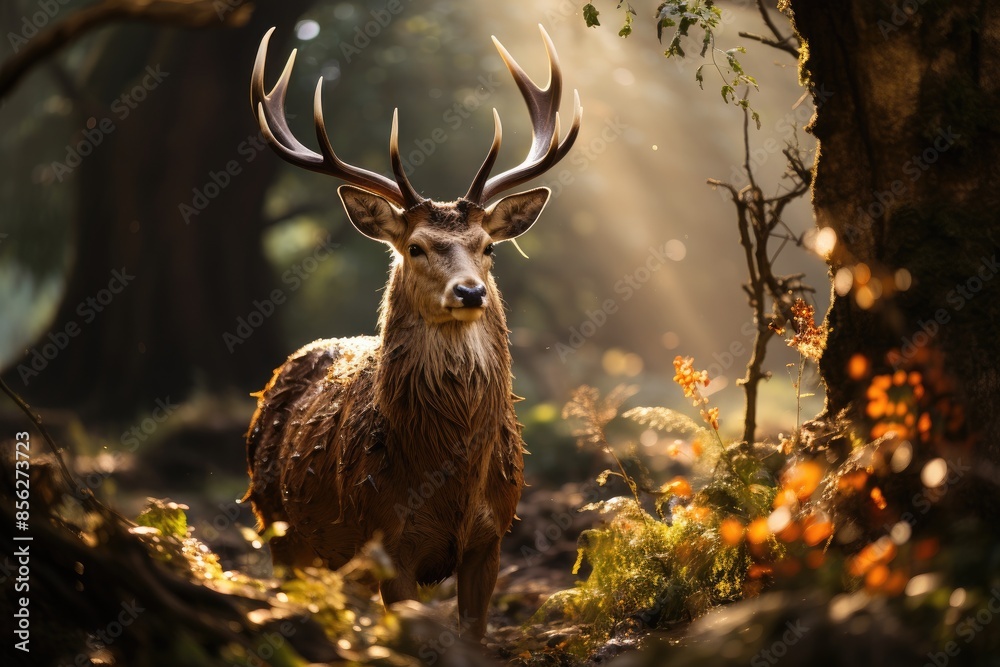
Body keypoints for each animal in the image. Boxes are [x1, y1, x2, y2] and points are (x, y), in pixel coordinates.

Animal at [242, 25, 581, 639]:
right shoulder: (386, 543)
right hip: (275, 523)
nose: (469, 293)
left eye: (489, 247)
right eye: (416, 247)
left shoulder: (492, 539)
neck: (448, 484)